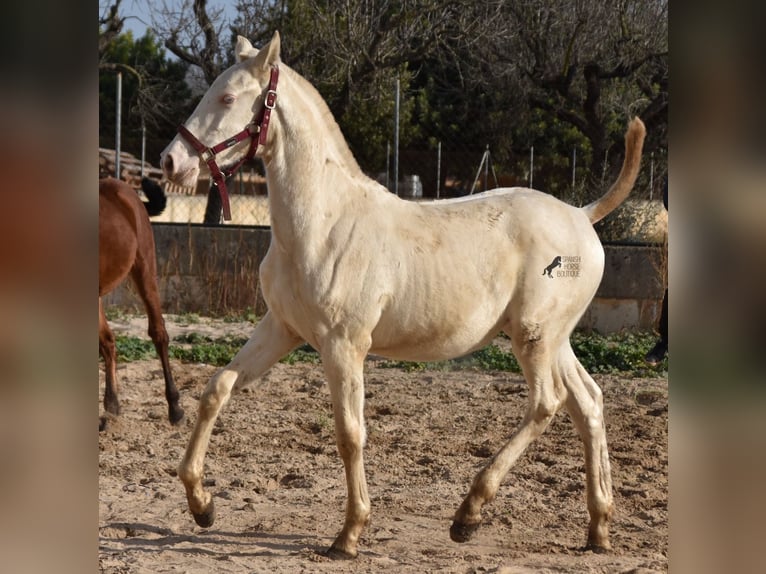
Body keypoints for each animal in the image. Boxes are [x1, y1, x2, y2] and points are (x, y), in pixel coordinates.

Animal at [162, 32, 648, 564]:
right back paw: (598, 529)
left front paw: (349, 534)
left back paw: (468, 514)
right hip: (554, 339)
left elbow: (350, 434)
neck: (323, 224)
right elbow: (218, 388)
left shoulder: (343, 344)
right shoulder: (282, 328)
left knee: (547, 403)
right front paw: (201, 504)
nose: (170, 162)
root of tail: (582, 215)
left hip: (534, 338)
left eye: (228, 98)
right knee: (588, 402)